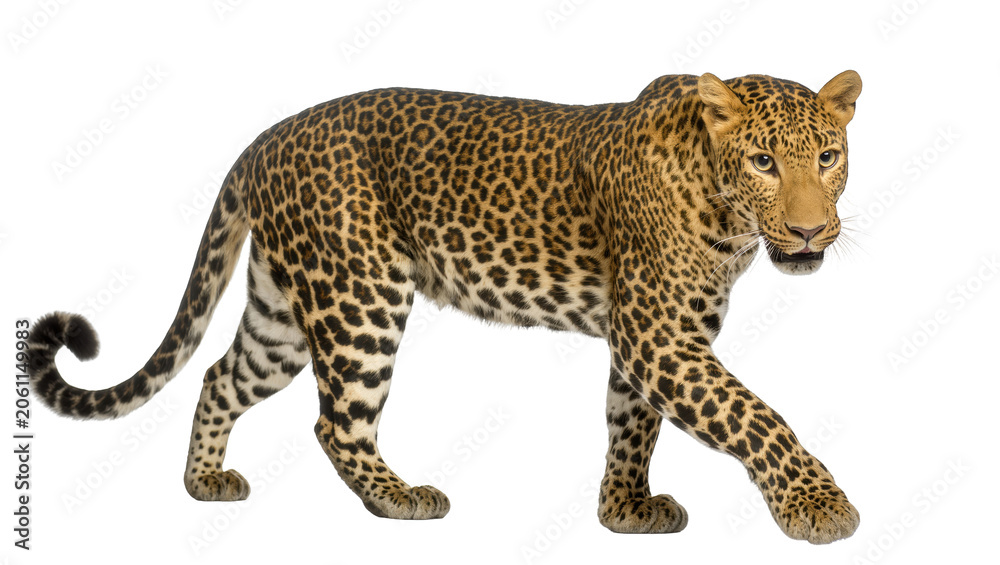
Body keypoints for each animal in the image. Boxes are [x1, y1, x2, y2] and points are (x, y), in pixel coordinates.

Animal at [28, 70, 862, 544]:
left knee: (220, 377)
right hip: (359, 295)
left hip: (282, 312)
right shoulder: (660, 336)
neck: (724, 206)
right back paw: (400, 499)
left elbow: (633, 425)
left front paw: (624, 510)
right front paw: (819, 505)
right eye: (763, 160)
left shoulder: (654, 338)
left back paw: (205, 480)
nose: (809, 230)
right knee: (336, 421)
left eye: (828, 156)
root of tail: (265, 140)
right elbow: (755, 415)